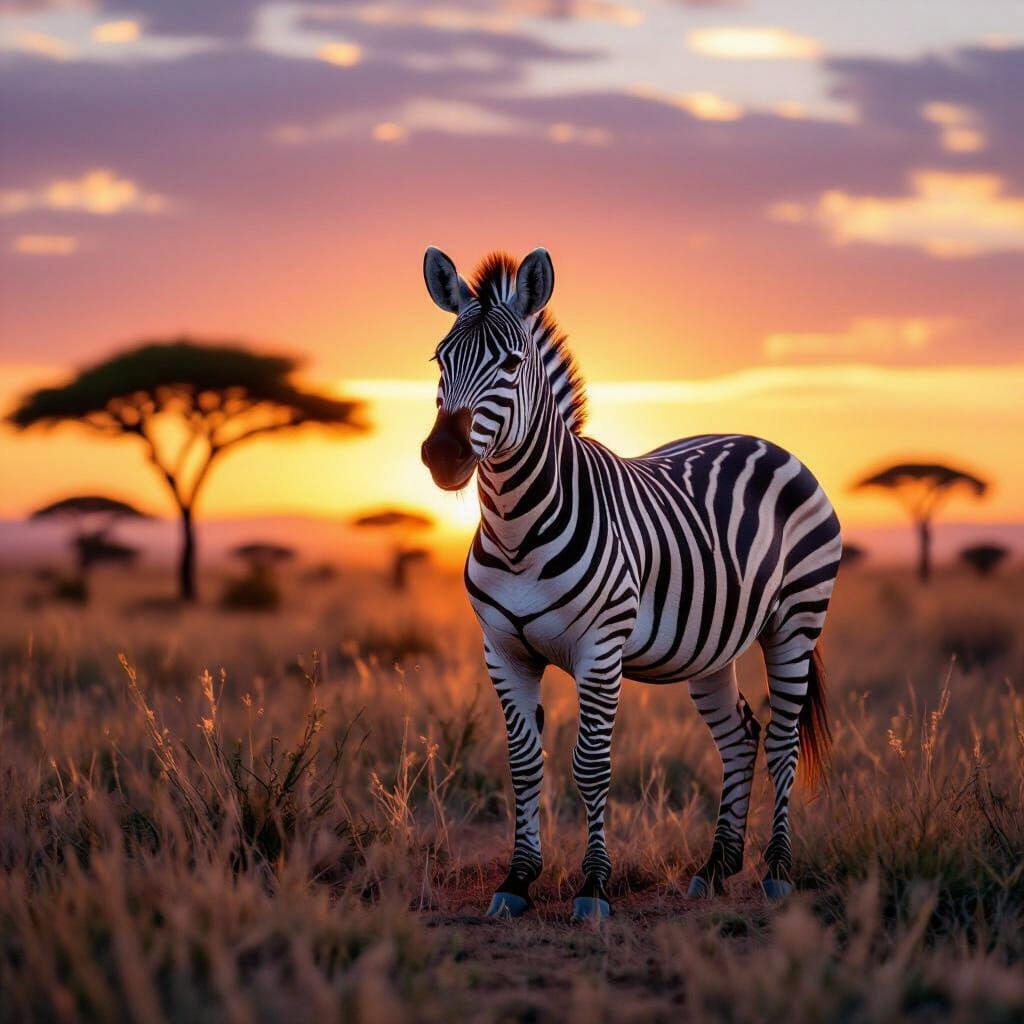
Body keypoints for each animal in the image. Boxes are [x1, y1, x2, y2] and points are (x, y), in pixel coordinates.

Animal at [420, 246, 842, 922]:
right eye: (440, 359)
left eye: (510, 363)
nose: (442, 456)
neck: (515, 530)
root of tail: (761, 440)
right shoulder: (502, 651)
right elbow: (523, 764)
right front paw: (517, 880)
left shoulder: (600, 649)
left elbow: (591, 766)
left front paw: (594, 886)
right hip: (710, 648)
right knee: (740, 737)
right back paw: (715, 869)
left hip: (797, 620)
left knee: (781, 740)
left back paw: (777, 871)